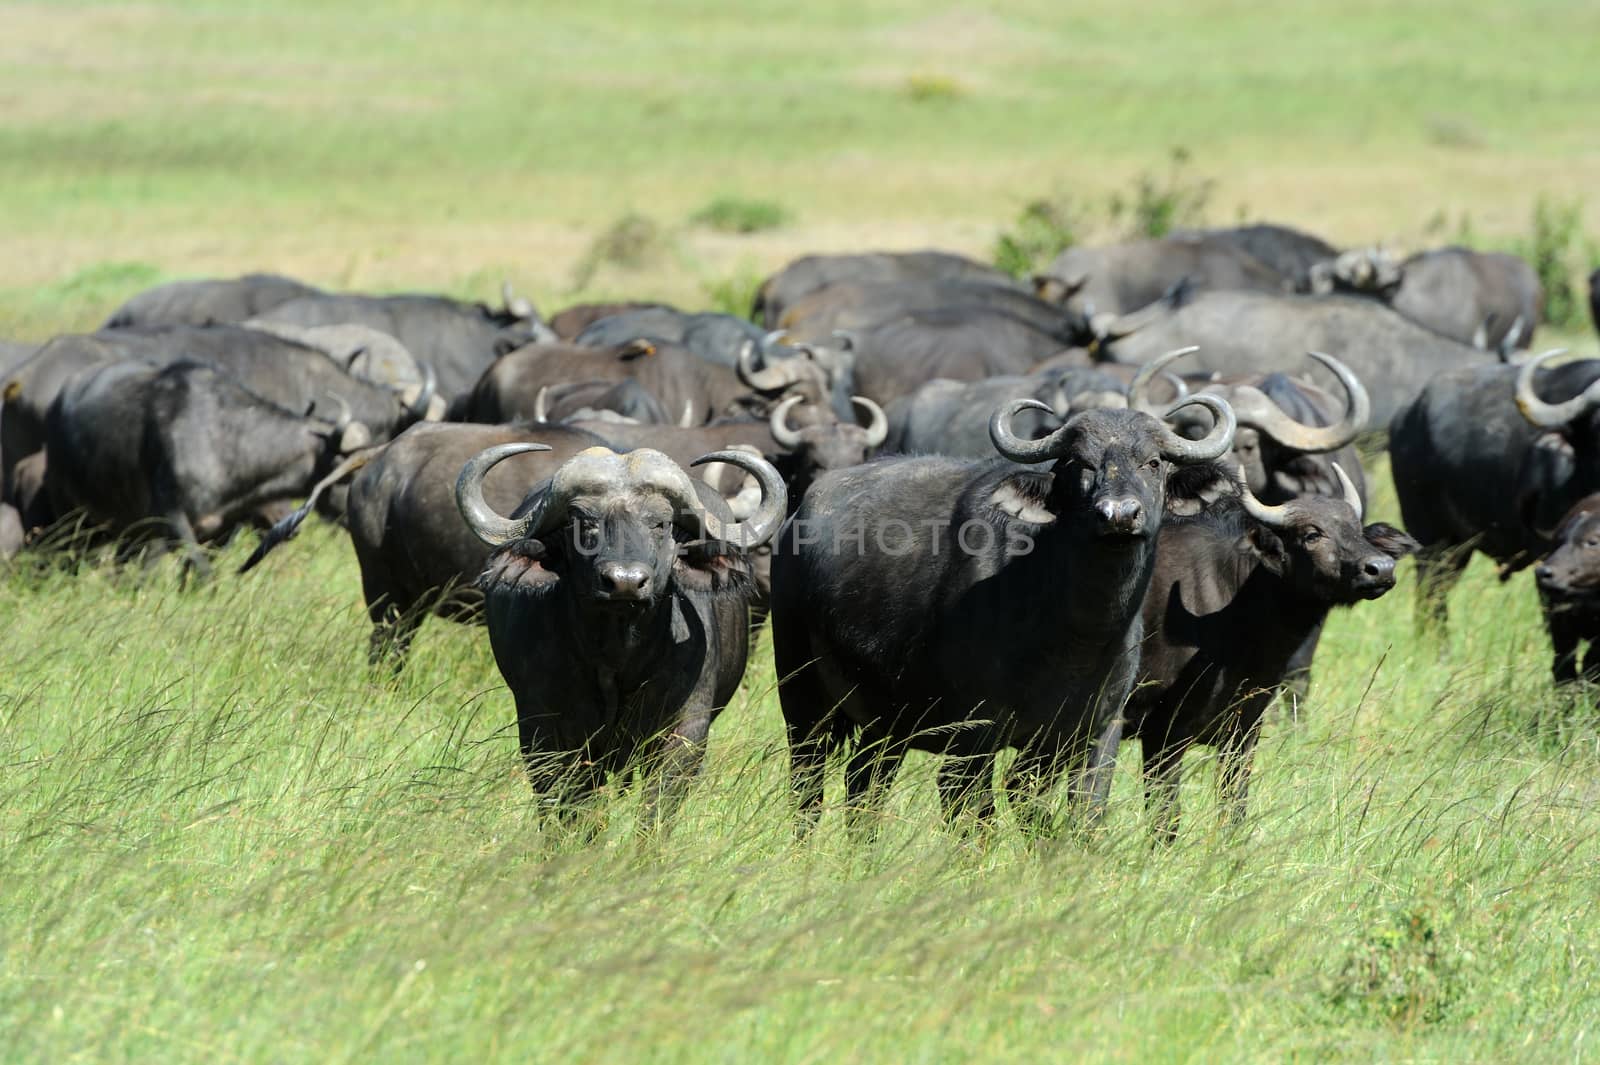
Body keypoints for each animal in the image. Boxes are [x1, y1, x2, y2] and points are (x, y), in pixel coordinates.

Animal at [454, 438, 784, 818]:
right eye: (582, 522)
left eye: (662, 523)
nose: (624, 582)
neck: (618, 658)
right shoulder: (544, 733)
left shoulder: (686, 732)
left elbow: (656, 809)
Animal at [764, 390, 1235, 831]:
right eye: (1079, 463)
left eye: (1152, 462)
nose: (1119, 514)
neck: (1075, 635)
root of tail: (795, 520)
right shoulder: (972, 736)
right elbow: (976, 817)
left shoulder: (1097, 731)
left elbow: (1076, 813)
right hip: (801, 693)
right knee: (808, 782)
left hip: (885, 721)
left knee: (865, 782)